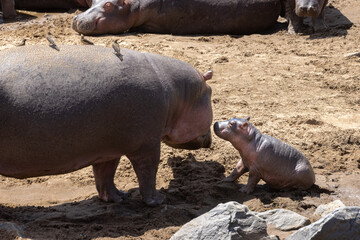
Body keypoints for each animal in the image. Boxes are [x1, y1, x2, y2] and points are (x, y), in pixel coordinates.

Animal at [0, 45, 214, 206]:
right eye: (211, 92)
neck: (179, 94)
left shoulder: (108, 150)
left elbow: (105, 175)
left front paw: (118, 198)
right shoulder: (147, 145)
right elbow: (148, 173)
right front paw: (158, 200)